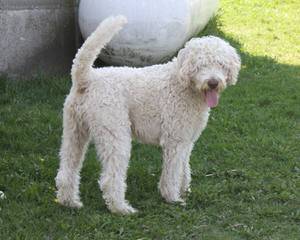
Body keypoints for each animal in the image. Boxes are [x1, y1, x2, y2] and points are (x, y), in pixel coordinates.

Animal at [54, 15, 241, 214]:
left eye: (220, 64)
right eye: (200, 65)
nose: (213, 83)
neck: (182, 83)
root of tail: (86, 78)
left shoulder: (186, 141)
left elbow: (184, 168)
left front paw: (184, 190)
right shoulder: (175, 141)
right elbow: (172, 172)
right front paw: (172, 198)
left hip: (74, 132)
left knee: (66, 170)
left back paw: (69, 202)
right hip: (115, 134)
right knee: (110, 178)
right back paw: (121, 208)